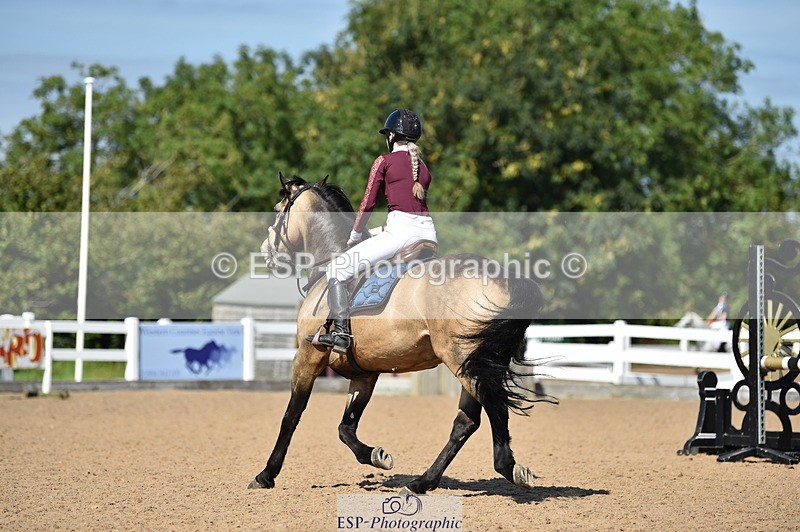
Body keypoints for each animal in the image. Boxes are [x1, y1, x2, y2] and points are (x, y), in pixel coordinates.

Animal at [248, 173, 553, 494]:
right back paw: (422, 482)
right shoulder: (365, 374)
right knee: (466, 422)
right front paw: (376, 455)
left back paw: (507, 467)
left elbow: (291, 416)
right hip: (477, 362)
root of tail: (505, 277)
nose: (266, 252)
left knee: (493, 406)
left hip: (463, 361)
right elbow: (346, 428)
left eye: (277, 210)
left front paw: (266, 474)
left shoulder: (307, 357)